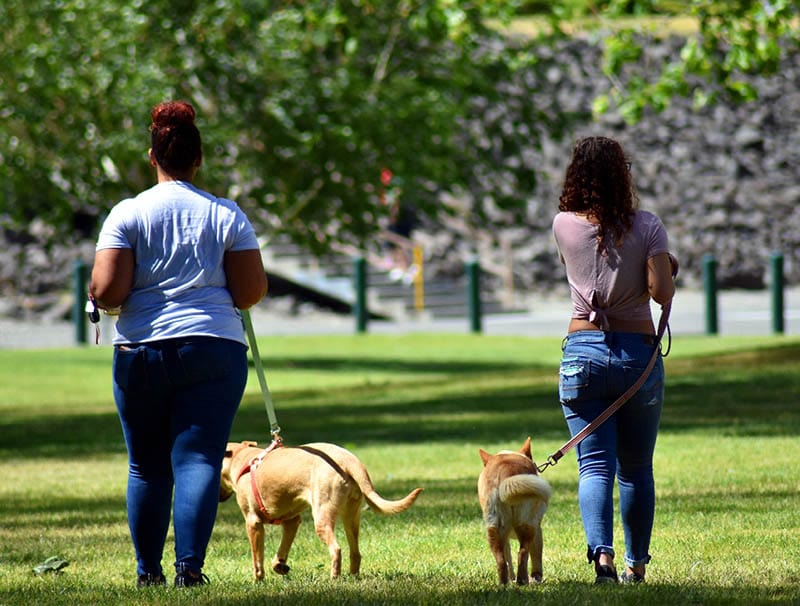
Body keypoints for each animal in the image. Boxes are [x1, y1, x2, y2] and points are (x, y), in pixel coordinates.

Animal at [219, 444, 418, 580]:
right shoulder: (292, 521)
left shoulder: (253, 523)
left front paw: (258, 580)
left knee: (336, 549)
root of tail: (349, 460)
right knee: (355, 553)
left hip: (322, 517)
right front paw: (280, 566)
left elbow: (257, 559)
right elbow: (281, 552)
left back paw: (334, 578)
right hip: (351, 516)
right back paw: (353, 577)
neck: (243, 459)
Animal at [478, 440, 552, 588]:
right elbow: (536, 556)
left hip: (495, 528)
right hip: (528, 525)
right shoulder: (538, 530)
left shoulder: (505, 537)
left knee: (501, 561)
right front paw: (537, 577)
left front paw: (511, 578)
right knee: (523, 554)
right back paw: (523, 581)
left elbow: (508, 559)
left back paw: (504, 584)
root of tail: (505, 472)